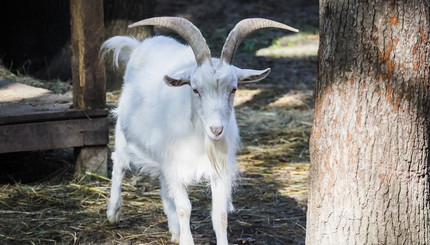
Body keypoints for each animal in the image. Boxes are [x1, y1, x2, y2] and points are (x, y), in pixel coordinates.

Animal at [101, 17, 296, 245]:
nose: (216, 130)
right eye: (195, 89)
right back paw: (113, 213)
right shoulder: (175, 165)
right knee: (119, 163)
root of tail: (139, 46)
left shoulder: (219, 169)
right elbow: (185, 208)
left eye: (233, 89)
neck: (198, 138)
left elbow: (220, 214)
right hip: (124, 131)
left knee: (164, 185)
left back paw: (174, 230)